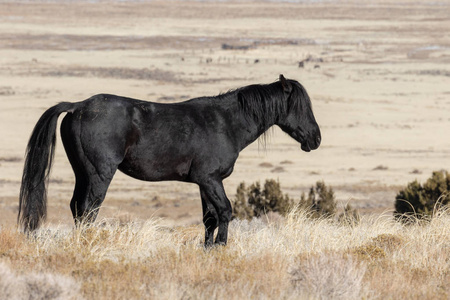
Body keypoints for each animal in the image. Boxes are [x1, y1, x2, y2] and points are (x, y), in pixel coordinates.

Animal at [17, 74, 320, 246]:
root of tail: (78, 106)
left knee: (77, 208)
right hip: (99, 175)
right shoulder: (211, 179)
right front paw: (222, 247)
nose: (315, 139)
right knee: (88, 210)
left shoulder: (204, 183)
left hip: (82, 173)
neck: (226, 122)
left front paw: (207, 248)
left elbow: (209, 218)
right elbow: (225, 211)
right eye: (299, 106)